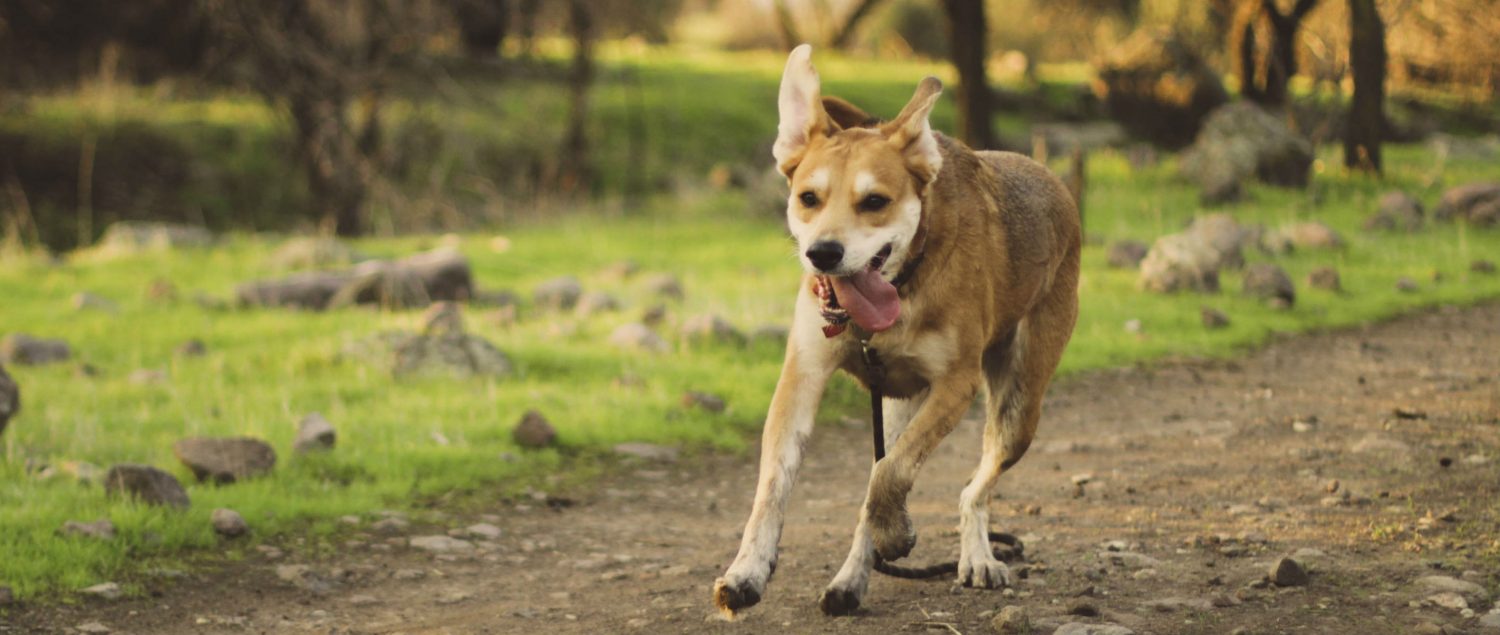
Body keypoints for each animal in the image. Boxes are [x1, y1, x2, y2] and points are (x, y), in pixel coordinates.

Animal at [711, 45, 1080, 621]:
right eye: (809, 197)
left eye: (875, 201)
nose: (824, 253)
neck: (901, 287)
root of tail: (1052, 179)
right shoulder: (803, 375)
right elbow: (773, 484)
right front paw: (747, 571)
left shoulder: (955, 384)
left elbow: (892, 472)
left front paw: (894, 531)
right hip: (899, 401)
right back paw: (850, 581)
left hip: (1019, 404)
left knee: (970, 488)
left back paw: (973, 555)